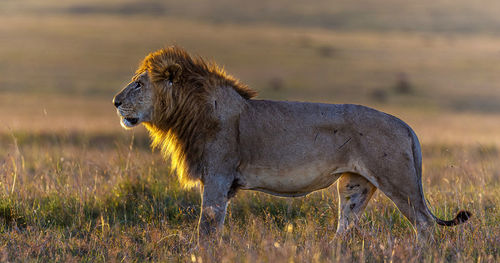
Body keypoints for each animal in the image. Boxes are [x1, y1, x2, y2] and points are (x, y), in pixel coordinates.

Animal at [112, 46, 468, 246]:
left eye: (139, 84)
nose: (115, 102)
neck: (189, 112)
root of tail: (406, 125)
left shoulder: (218, 178)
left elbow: (207, 230)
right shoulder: (220, 182)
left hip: (398, 181)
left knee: (424, 225)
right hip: (354, 186)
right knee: (345, 228)